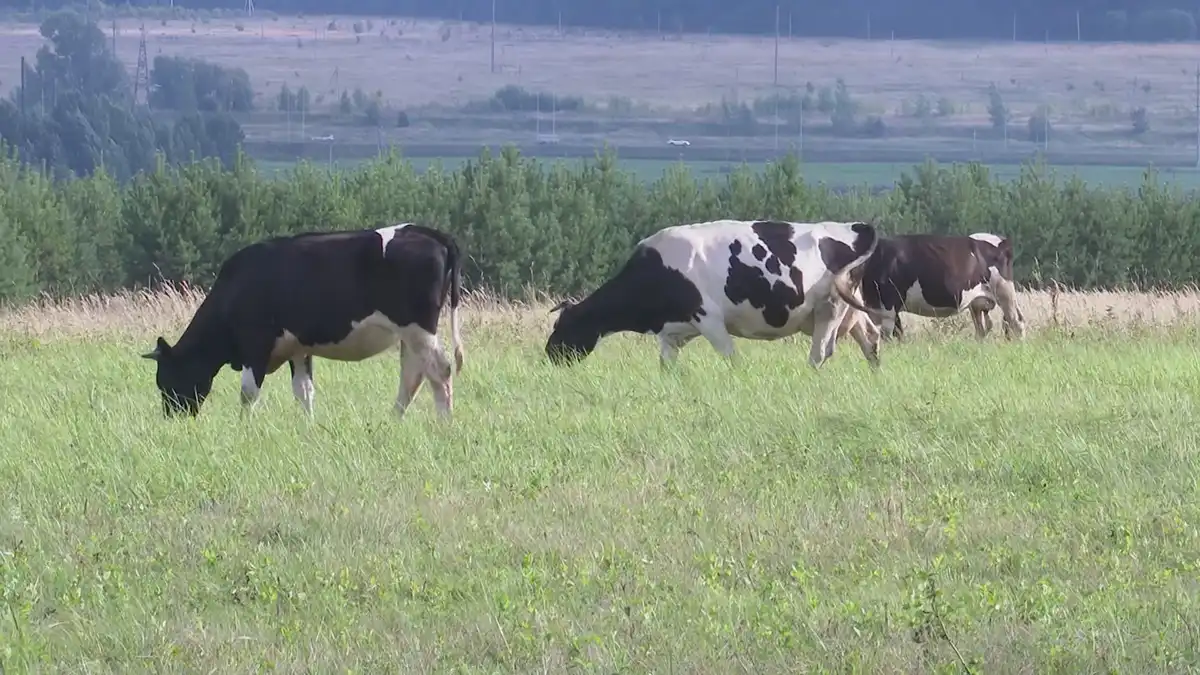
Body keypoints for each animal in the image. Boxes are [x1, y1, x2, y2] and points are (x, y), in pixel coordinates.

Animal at [140, 222, 465, 420]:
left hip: (418, 328)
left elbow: (248, 392)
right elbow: (303, 391)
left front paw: (245, 427)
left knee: (440, 371)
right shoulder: (298, 348)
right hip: (409, 334)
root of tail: (430, 233)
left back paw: (444, 422)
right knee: (412, 375)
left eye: (165, 380)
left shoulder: (255, 344)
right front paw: (308, 425)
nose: (173, 418)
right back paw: (394, 419)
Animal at [544, 219, 890, 369]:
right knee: (870, 339)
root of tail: (853, 226)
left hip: (830, 308)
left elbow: (731, 358)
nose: (548, 354)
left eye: (562, 326)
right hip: (851, 308)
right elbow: (667, 367)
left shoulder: (708, 319)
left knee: (820, 354)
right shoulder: (670, 333)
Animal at [859, 232, 1027, 341]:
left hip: (1004, 291)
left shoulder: (888, 305)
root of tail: (1002, 240)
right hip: (977, 303)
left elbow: (887, 335)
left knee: (1017, 322)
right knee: (982, 328)